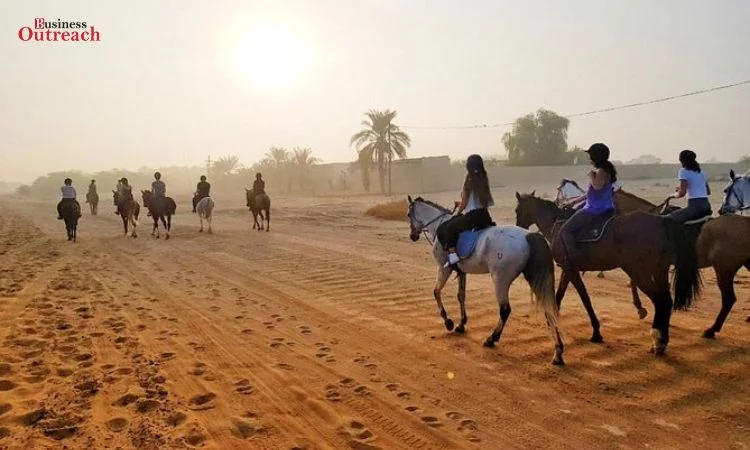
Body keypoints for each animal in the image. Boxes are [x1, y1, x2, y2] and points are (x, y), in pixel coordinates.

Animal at [406, 196, 564, 366]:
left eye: (408, 214)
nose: (412, 236)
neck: (438, 224)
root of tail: (529, 236)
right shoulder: (461, 272)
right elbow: (461, 296)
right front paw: (461, 324)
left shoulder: (443, 268)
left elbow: (436, 292)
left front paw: (448, 322)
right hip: (535, 278)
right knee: (549, 310)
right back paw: (558, 352)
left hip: (500, 279)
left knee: (505, 309)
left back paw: (492, 338)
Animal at [516, 191, 704, 356]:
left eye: (517, 210)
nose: (519, 228)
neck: (557, 224)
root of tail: (661, 221)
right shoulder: (569, 269)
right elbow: (570, 297)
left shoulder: (569, 269)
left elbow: (577, 298)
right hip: (658, 269)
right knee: (666, 300)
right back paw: (660, 342)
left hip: (638, 270)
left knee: (660, 300)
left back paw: (657, 341)